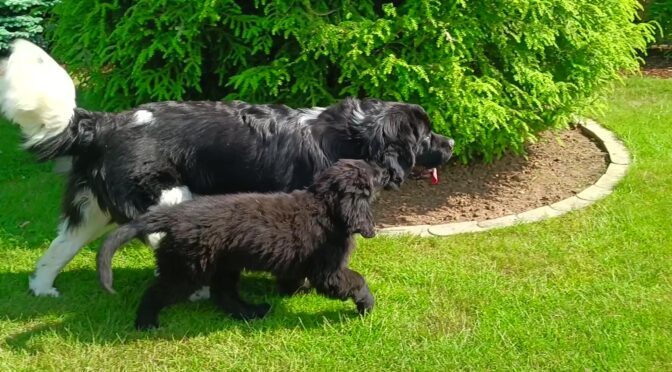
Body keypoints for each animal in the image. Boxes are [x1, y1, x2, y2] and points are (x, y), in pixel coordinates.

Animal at [0, 40, 454, 296]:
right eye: (425, 136)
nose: (451, 143)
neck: (353, 135)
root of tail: (104, 123)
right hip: (166, 197)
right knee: (161, 240)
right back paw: (199, 291)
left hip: (92, 209)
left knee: (56, 250)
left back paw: (42, 290)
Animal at [98, 160, 386, 328]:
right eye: (373, 176)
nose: (384, 170)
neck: (326, 206)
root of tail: (173, 215)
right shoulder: (329, 271)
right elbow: (356, 280)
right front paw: (366, 304)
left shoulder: (297, 260)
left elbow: (292, 277)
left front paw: (295, 290)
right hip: (188, 270)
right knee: (156, 293)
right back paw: (145, 322)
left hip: (222, 264)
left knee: (224, 295)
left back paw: (252, 312)